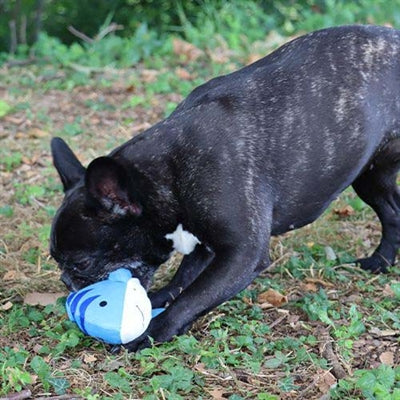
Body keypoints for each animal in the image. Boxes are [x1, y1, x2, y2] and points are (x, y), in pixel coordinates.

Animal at [50, 25, 400, 350]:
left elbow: (194, 295)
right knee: (392, 213)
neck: (164, 174)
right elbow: (185, 278)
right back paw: (380, 262)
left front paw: (153, 331)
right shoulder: (204, 241)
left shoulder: (242, 253)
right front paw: (160, 297)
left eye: (81, 263)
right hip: (370, 178)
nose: (66, 281)